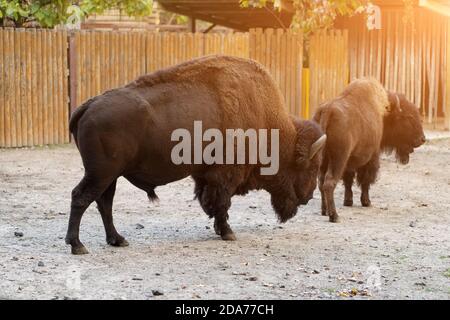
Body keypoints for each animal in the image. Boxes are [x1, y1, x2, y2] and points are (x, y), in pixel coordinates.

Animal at [66, 55, 326, 255]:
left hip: (109, 176)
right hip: (101, 173)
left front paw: (221, 229)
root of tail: (87, 106)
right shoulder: (226, 175)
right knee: (81, 197)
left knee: (104, 202)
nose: (309, 196)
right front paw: (228, 233)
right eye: (310, 167)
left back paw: (117, 239)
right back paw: (78, 245)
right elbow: (222, 201)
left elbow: (211, 200)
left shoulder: (206, 175)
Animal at [312, 77, 426, 222]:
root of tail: (327, 110)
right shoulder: (371, 157)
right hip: (338, 159)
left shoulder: (350, 161)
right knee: (329, 183)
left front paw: (348, 202)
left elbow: (349, 180)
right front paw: (366, 202)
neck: (384, 112)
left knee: (321, 183)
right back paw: (334, 216)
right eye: (409, 117)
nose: (422, 139)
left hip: (323, 160)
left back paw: (324, 211)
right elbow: (366, 180)